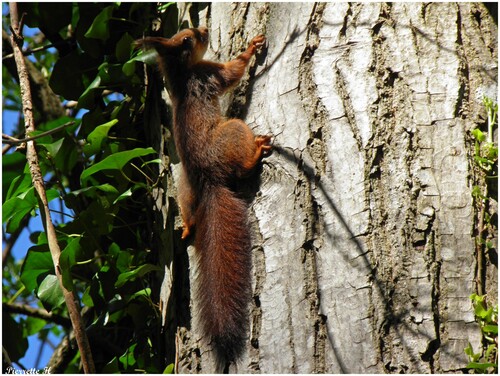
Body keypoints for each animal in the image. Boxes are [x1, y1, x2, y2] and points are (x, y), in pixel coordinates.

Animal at [137, 25, 272, 364]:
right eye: (187, 38)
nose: (205, 29)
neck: (180, 74)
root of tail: (210, 181)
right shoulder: (209, 74)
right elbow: (233, 71)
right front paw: (251, 48)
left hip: (186, 190)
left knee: (189, 212)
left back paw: (187, 227)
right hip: (233, 132)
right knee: (243, 156)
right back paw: (256, 152)